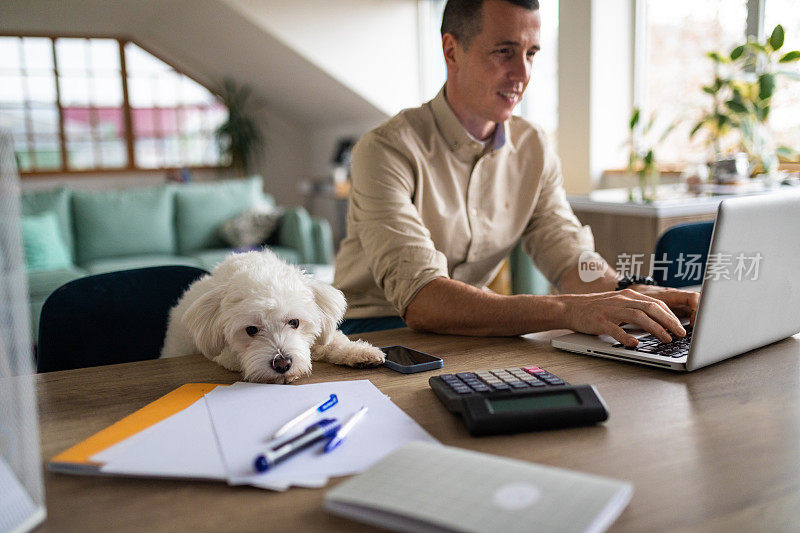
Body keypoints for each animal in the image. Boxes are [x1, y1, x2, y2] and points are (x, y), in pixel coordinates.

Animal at [159, 249, 384, 382]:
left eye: (294, 322)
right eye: (251, 330)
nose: (282, 364)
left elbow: (332, 341)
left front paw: (360, 352)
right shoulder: (225, 353)